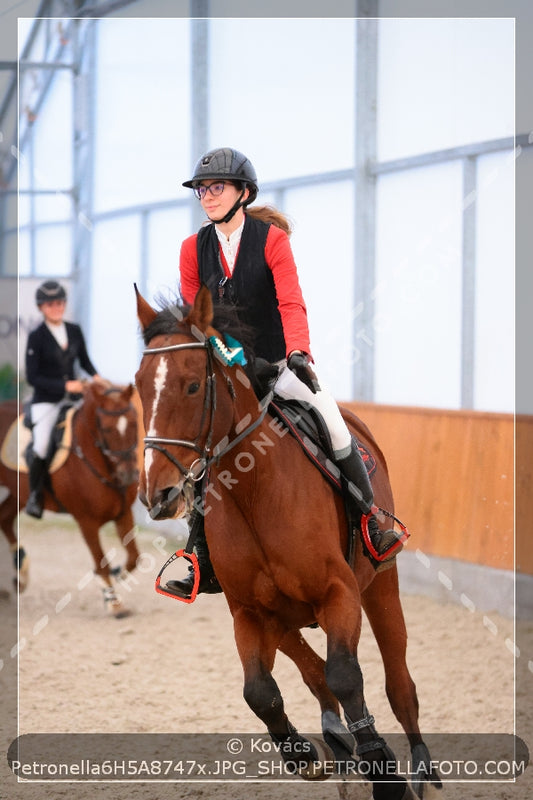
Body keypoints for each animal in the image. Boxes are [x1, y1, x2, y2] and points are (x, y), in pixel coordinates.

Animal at [0, 382, 140, 620]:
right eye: (107, 429)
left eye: (134, 423)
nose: (129, 474)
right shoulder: (86, 522)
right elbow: (101, 562)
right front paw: (114, 603)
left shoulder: (124, 514)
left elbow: (134, 557)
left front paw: (119, 572)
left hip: (19, 495)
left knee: (5, 519)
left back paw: (21, 576)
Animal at [134, 290, 440, 800]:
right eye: (138, 386)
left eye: (193, 386)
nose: (158, 495)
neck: (255, 492)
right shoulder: (248, 612)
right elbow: (261, 691)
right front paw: (305, 755)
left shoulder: (339, 592)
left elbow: (346, 674)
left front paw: (382, 769)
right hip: (284, 615)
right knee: (313, 672)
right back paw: (336, 740)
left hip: (380, 585)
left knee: (398, 685)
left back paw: (418, 769)